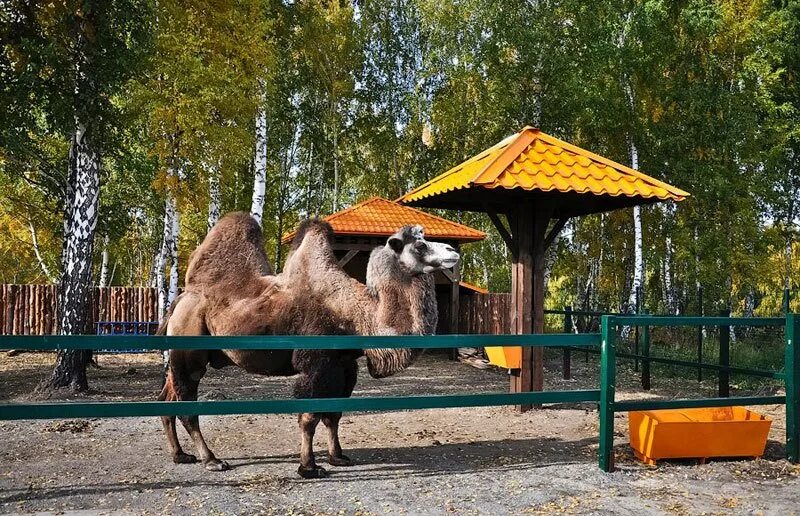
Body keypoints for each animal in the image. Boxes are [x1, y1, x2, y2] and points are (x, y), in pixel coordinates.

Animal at [158, 212, 456, 478]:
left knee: (166, 398)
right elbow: (309, 417)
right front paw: (309, 467)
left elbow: (334, 414)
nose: (453, 251)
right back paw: (211, 460)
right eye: (419, 244)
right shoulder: (316, 363)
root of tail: (179, 301)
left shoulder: (345, 365)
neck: (355, 316)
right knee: (187, 405)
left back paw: (180, 455)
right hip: (189, 351)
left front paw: (338, 457)